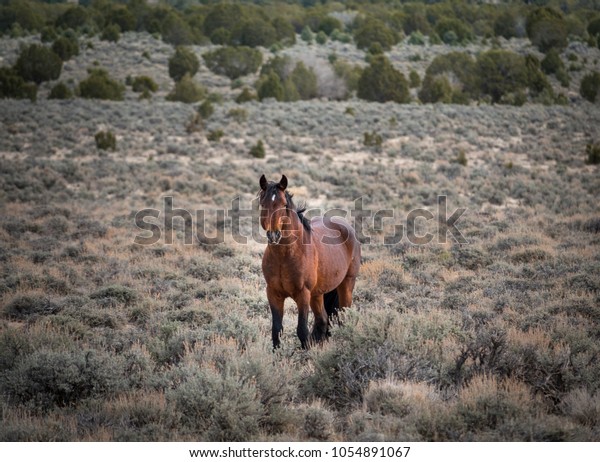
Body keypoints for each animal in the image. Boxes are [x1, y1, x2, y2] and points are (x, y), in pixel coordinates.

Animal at [258, 175, 360, 348]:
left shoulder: (303, 294)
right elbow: (276, 331)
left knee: (342, 318)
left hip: (346, 285)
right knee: (323, 320)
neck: (284, 256)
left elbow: (301, 330)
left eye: (284, 205)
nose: (274, 235)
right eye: (262, 204)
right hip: (317, 294)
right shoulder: (273, 293)